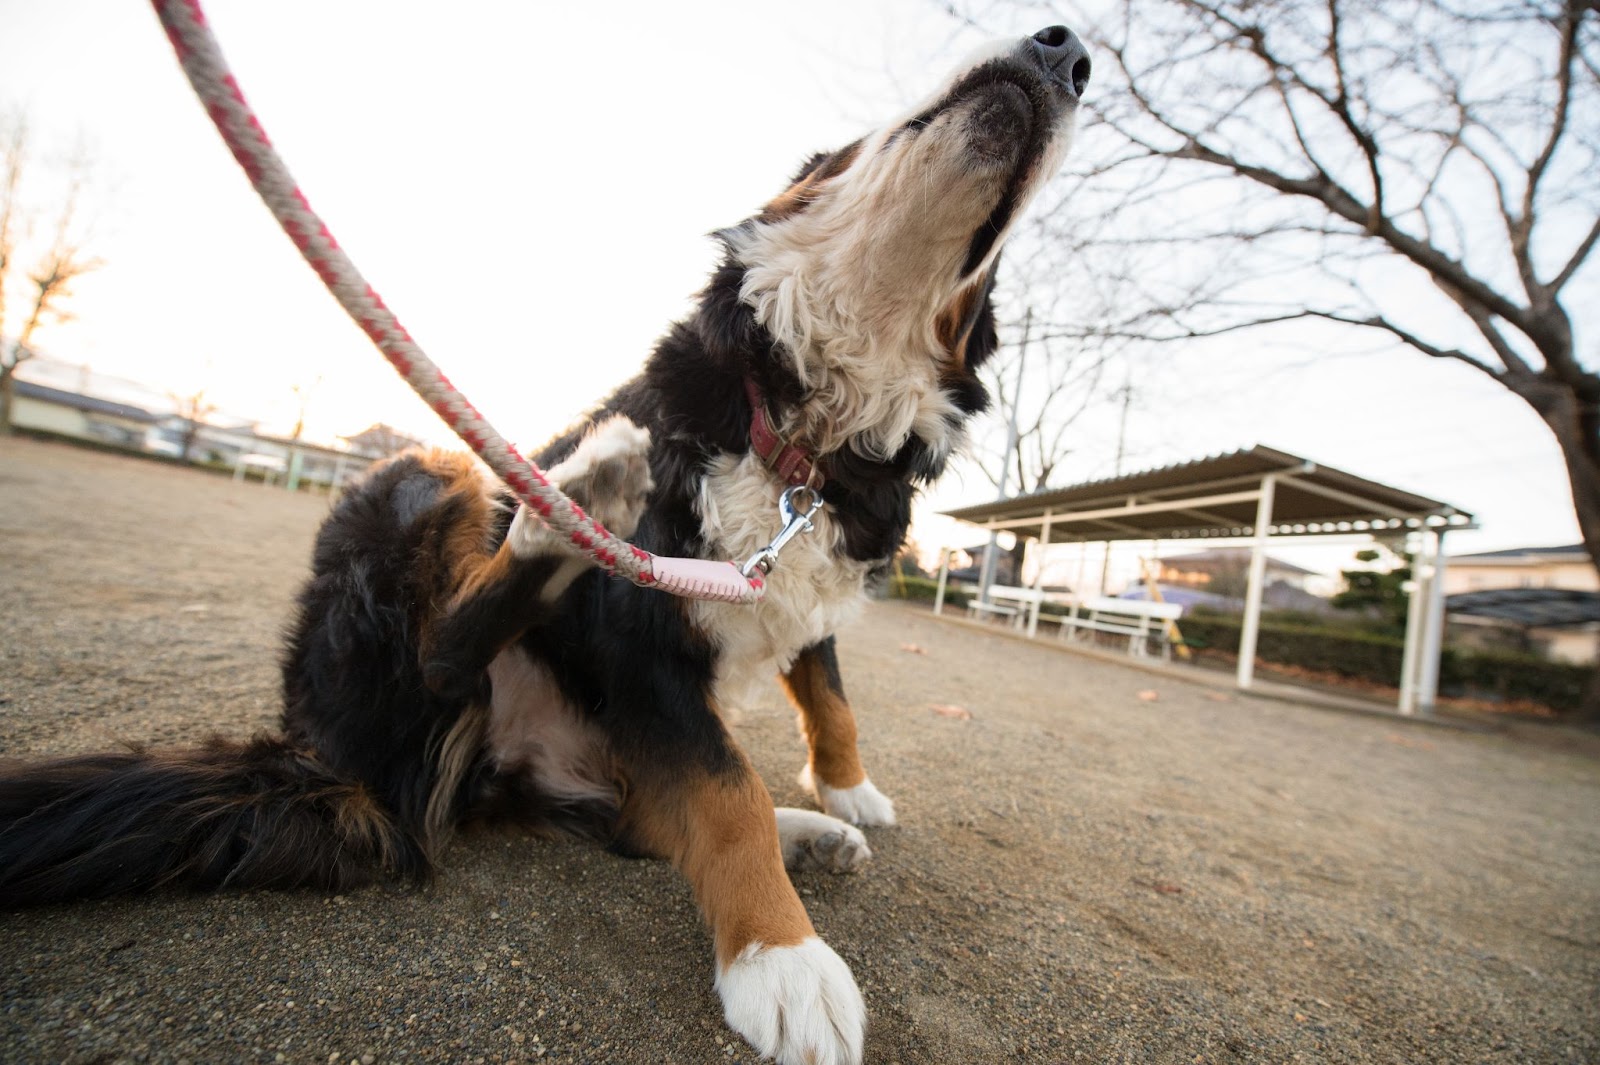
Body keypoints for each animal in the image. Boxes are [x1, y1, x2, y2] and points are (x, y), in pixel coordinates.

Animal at [0, 24, 1088, 1061]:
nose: (1069, 50)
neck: (805, 430)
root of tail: (329, 762)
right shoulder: (643, 638)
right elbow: (727, 791)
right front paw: (781, 960)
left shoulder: (794, 586)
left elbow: (825, 698)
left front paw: (847, 791)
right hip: (432, 469)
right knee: (448, 655)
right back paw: (569, 511)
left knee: (640, 817)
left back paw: (808, 828)